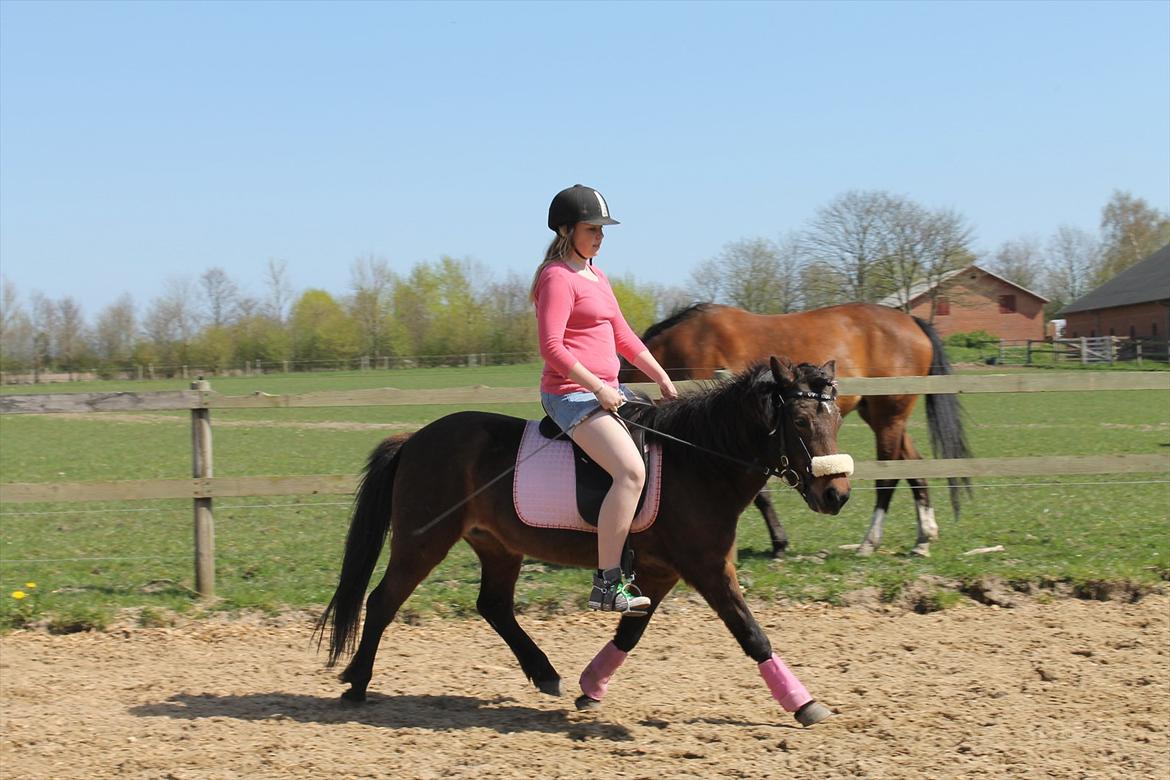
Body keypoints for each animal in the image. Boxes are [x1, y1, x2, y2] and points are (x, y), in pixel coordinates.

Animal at [316, 357, 852, 727]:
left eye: (837, 421)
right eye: (800, 423)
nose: (837, 495)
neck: (699, 461)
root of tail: (414, 439)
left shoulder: (660, 571)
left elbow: (630, 633)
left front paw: (590, 688)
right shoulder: (706, 568)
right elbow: (751, 633)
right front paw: (804, 703)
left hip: (498, 545)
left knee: (493, 605)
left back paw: (544, 672)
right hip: (423, 541)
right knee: (382, 601)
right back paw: (357, 683)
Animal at [618, 302, 971, 558]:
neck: (686, 345)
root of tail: (911, 320)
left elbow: (761, 496)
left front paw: (779, 543)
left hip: (888, 417)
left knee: (889, 475)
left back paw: (870, 540)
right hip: (884, 417)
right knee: (912, 466)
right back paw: (923, 537)